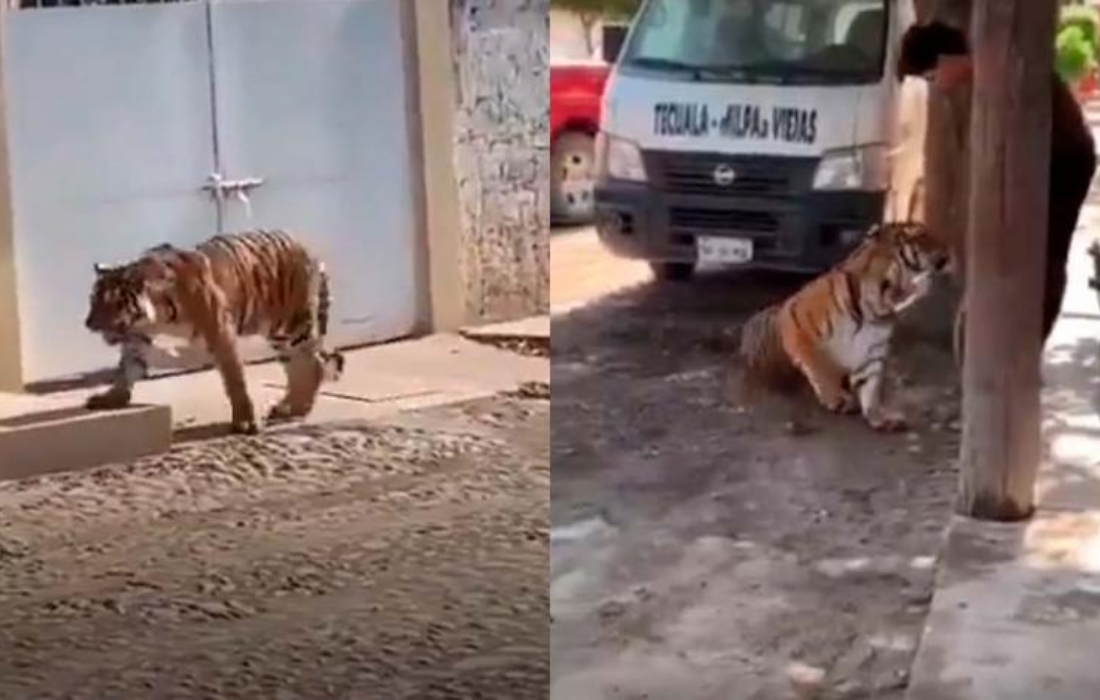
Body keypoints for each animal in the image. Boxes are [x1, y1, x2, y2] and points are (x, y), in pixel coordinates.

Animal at [82, 227, 343, 431]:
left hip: (292, 324)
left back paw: (297, 409)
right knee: (299, 366)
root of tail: (309, 248)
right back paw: (287, 408)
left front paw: (245, 422)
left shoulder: (219, 333)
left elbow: (234, 379)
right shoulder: (138, 336)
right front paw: (112, 398)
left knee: (315, 363)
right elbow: (126, 368)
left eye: (111, 302)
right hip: (279, 335)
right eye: (93, 299)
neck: (154, 316)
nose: (88, 324)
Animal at [739, 221, 954, 431]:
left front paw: (880, 417)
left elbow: (871, 387)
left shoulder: (871, 352)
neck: (878, 307)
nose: (948, 250)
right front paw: (837, 397)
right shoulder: (796, 322)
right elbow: (820, 365)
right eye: (920, 235)